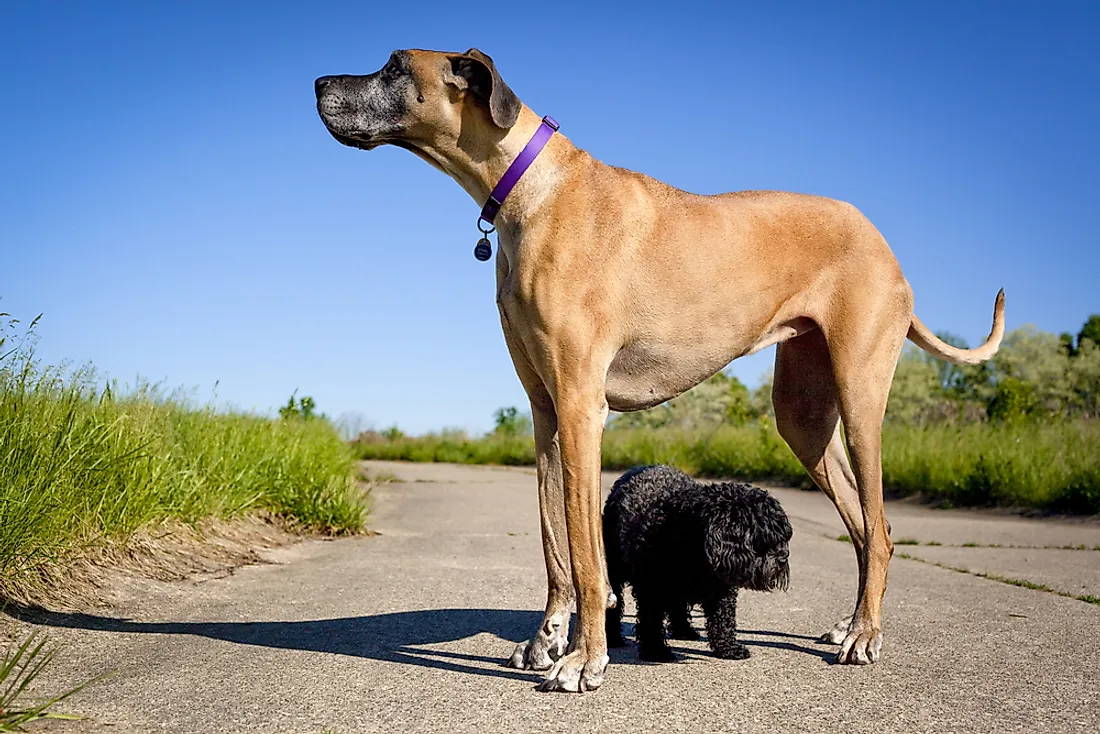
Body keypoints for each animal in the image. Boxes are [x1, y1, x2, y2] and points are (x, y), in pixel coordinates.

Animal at [602, 468, 792, 664]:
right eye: (762, 540)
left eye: (782, 538)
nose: (783, 557)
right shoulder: (650, 589)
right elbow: (651, 621)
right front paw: (655, 650)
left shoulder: (721, 591)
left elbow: (722, 621)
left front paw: (728, 648)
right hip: (614, 570)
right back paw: (613, 638)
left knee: (677, 607)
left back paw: (684, 631)